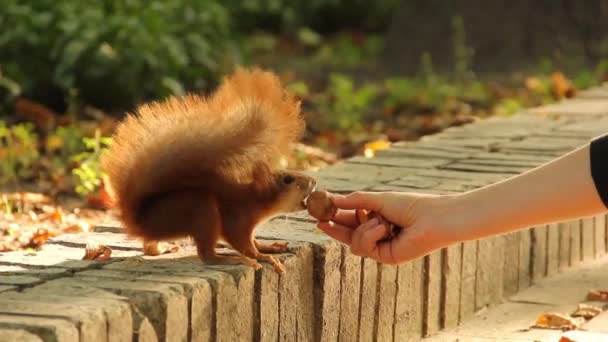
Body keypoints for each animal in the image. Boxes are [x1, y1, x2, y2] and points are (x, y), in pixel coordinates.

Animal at [101, 69, 316, 272]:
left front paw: (268, 247)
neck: (254, 200)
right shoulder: (236, 220)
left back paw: (164, 248)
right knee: (207, 256)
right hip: (202, 209)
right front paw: (263, 257)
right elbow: (244, 245)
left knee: (150, 247)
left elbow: (254, 241)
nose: (313, 182)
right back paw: (233, 259)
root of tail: (140, 223)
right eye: (287, 179)